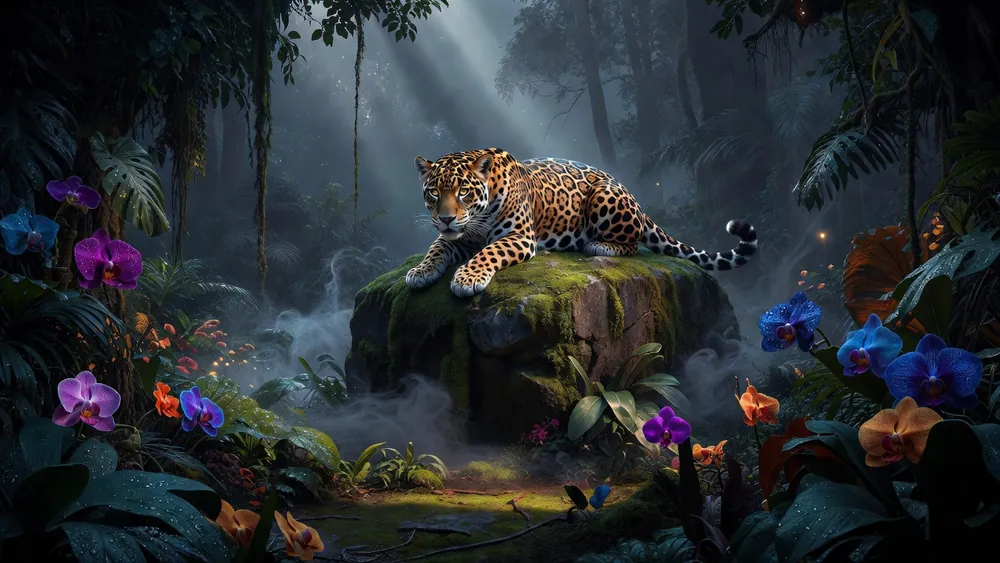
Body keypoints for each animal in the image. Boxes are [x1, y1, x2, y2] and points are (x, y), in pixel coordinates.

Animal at [405, 148, 758, 297]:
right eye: (434, 192)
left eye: (463, 192)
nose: (446, 218)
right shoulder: (455, 237)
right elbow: (436, 249)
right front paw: (420, 272)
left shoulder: (518, 236)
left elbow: (487, 252)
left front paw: (467, 278)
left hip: (603, 196)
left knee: (633, 243)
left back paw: (599, 245)